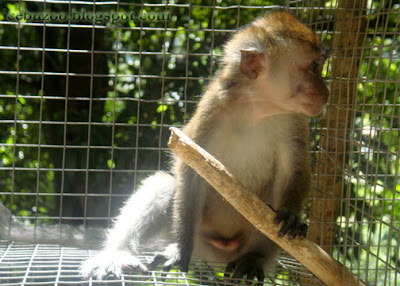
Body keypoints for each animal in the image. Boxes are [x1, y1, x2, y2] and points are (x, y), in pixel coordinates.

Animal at [0, 10, 328, 282]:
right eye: (313, 67)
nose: (325, 89)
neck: (258, 109)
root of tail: (220, 252)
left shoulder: (295, 120)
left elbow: (295, 170)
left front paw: (291, 215)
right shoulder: (213, 108)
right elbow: (191, 168)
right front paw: (180, 250)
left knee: (268, 214)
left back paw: (255, 257)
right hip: (199, 232)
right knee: (166, 186)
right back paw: (117, 252)